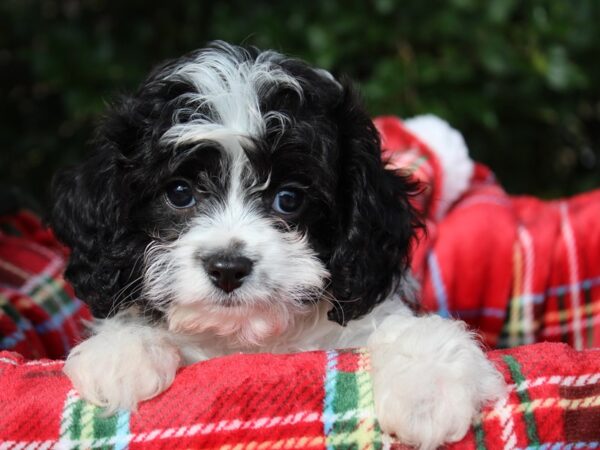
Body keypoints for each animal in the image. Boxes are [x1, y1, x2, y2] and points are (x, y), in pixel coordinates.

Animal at [51, 42, 504, 450]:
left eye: (289, 198)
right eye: (179, 193)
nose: (227, 267)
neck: (251, 342)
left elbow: (405, 328)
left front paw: (428, 390)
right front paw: (121, 354)